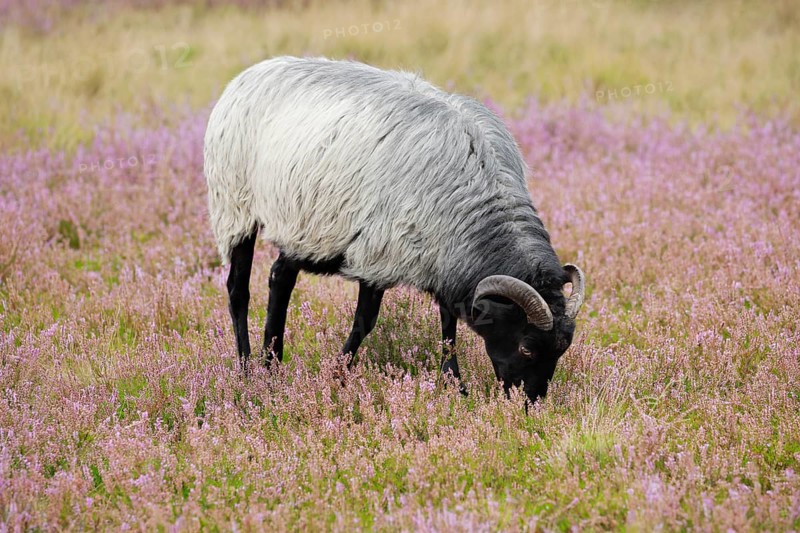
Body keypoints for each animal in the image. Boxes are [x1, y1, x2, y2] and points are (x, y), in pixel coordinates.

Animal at [204, 56, 586, 404]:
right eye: (526, 348)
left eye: (561, 350)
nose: (531, 402)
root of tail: (253, 71)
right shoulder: (378, 253)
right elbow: (365, 321)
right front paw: (338, 374)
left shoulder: (441, 259)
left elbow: (448, 324)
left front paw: (454, 385)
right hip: (235, 208)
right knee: (239, 289)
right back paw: (248, 368)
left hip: (302, 225)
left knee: (280, 277)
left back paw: (272, 364)